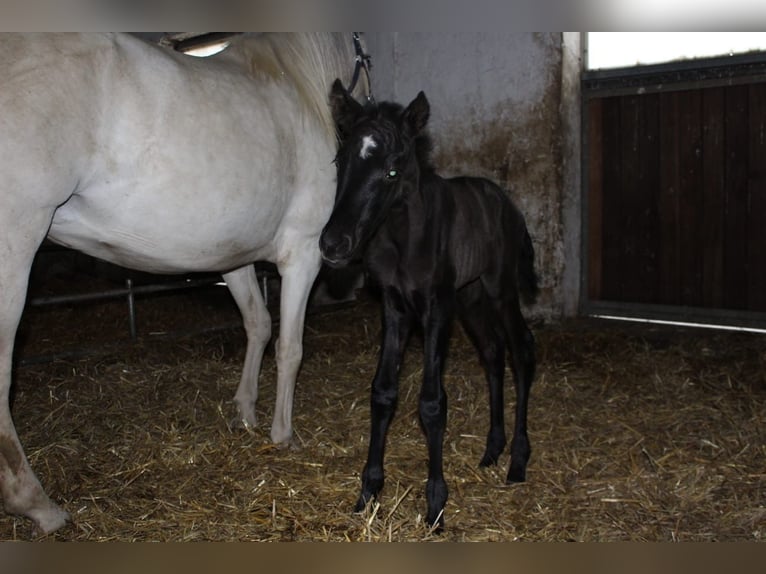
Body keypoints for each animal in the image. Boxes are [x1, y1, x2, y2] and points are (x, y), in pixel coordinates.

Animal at [0, 32, 372, 536]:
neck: (297, 82)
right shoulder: (303, 253)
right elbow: (290, 348)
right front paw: (283, 434)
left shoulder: (233, 256)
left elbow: (257, 325)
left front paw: (245, 411)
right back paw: (38, 503)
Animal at [322, 80, 540, 532]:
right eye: (340, 161)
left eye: (392, 170)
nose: (333, 245)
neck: (401, 237)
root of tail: (507, 204)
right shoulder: (395, 307)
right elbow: (383, 392)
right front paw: (368, 491)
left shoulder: (436, 308)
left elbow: (432, 403)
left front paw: (436, 504)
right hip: (471, 298)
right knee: (492, 353)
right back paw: (492, 449)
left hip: (499, 290)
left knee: (521, 351)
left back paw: (517, 461)